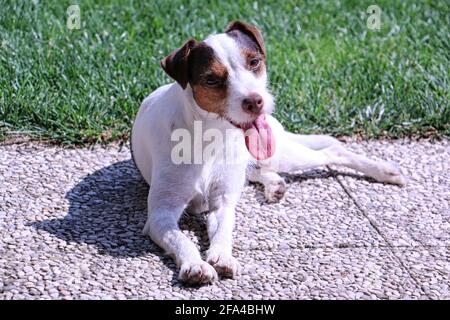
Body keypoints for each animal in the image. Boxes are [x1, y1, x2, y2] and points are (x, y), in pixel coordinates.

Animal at [131, 20, 408, 284]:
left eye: (254, 62)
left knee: (332, 150)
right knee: (263, 170)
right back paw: (275, 186)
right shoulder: (161, 214)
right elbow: (181, 239)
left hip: (283, 153)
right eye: (211, 79)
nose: (255, 101)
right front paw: (195, 265)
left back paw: (384, 170)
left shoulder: (222, 203)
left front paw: (222, 256)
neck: (211, 136)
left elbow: (223, 232)